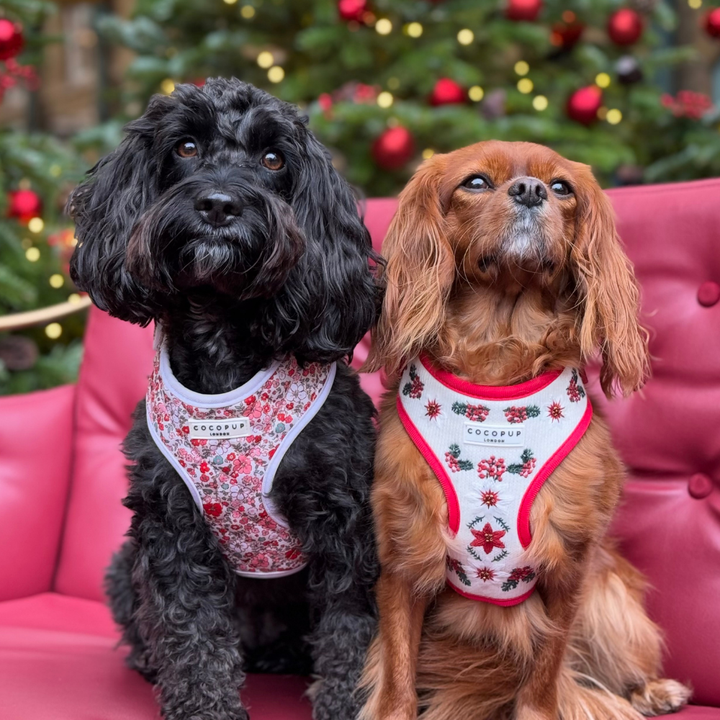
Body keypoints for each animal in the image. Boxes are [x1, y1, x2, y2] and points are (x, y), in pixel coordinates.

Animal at [67, 79, 380, 720]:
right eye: (186, 146)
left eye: (273, 159)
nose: (218, 204)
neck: (222, 343)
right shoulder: (172, 524)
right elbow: (192, 635)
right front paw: (202, 706)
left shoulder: (344, 521)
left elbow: (349, 628)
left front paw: (348, 704)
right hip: (123, 565)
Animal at [360, 142, 692, 720]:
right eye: (474, 183)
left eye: (561, 188)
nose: (531, 191)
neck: (498, 359)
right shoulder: (406, 558)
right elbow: (398, 672)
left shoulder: (569, 566)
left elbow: (546, 672)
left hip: (607, 595)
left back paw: (649, 689)